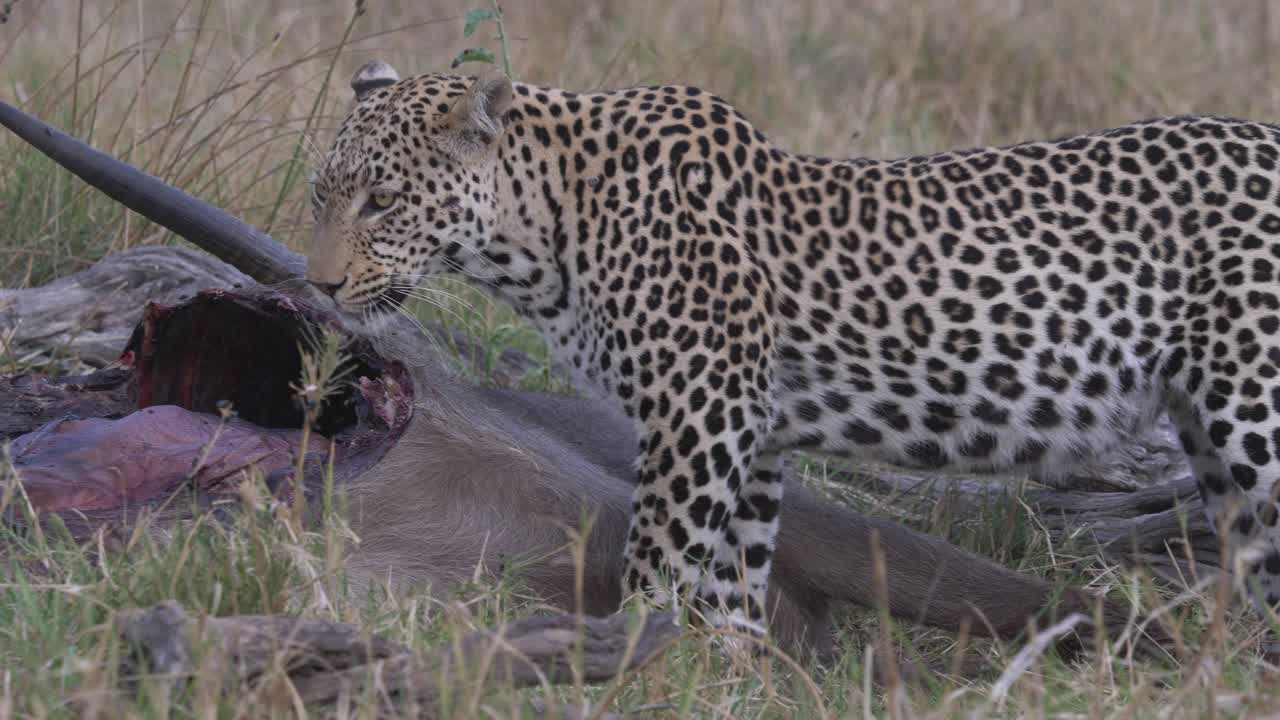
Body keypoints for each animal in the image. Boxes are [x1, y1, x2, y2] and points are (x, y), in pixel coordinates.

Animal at [305, 59, 1280, 639]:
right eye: (322, 194)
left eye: (383, 201)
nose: (319, 284)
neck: (545, 228)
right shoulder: (754, 433)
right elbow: (735, 578)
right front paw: (718, 673)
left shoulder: (699, 412)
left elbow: (659, 561)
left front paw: (630, 663)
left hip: (1253, 407)